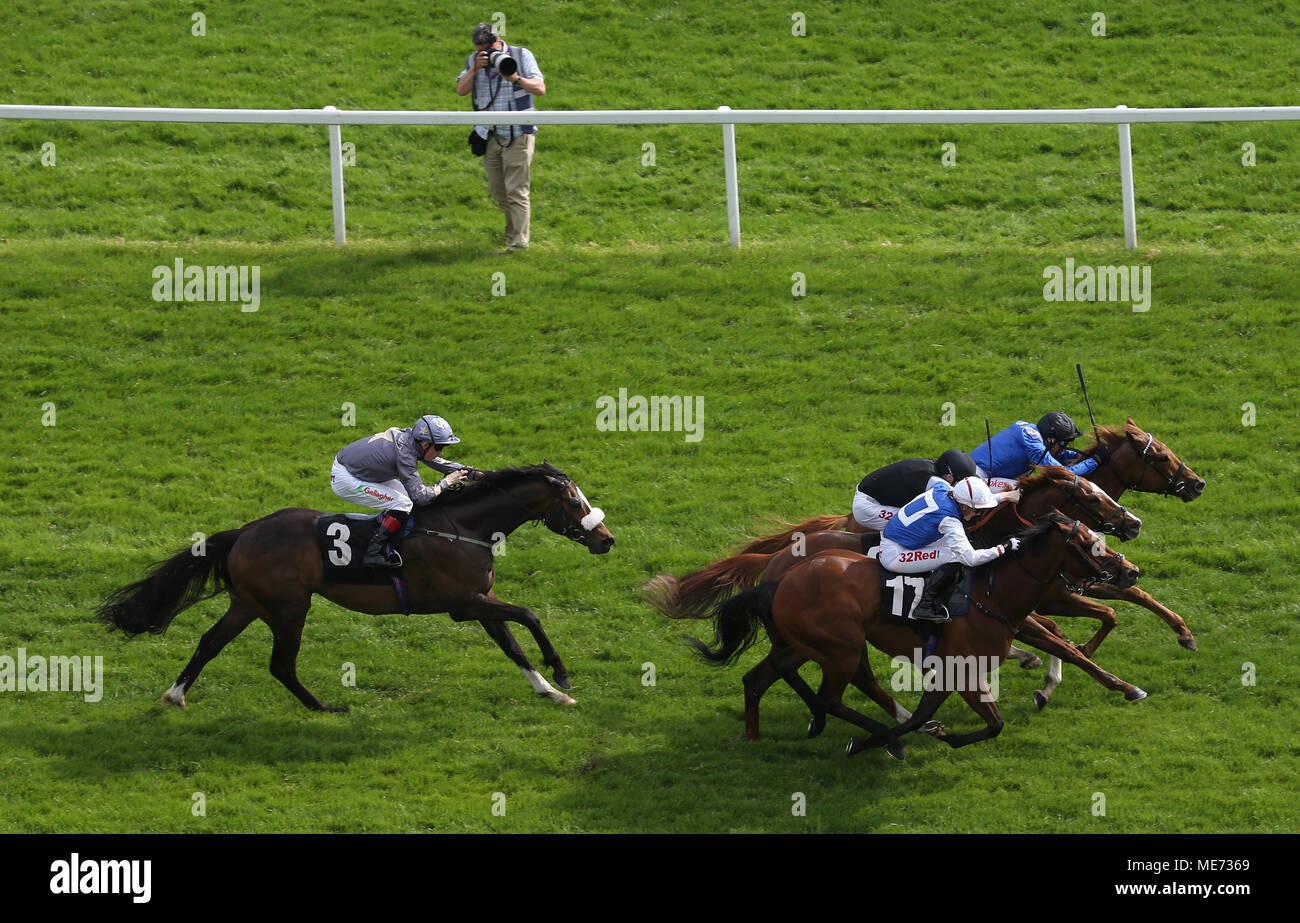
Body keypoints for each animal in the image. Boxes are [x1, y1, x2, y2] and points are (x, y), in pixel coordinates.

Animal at [98, 462, 616, 717]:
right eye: (574, 502)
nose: (607, 540)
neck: (464, 528)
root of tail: (244, 532)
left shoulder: (480, 602)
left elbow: (513, 647)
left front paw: (551, 693)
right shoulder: (464, 604)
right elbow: (529, 615)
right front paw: (562, 673)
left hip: (247, 602)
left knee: (209, 643)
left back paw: (175, 695)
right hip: (289, 607)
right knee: (280, 664)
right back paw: (325, 707)